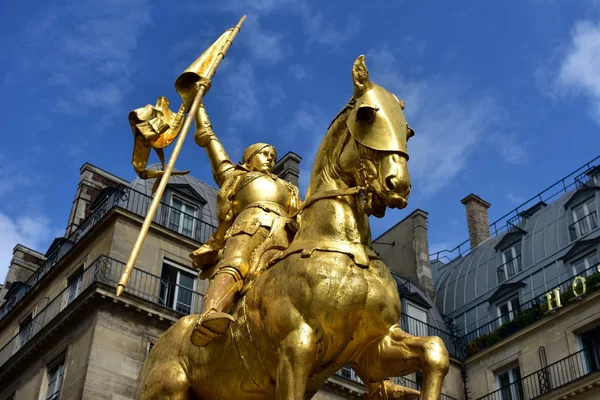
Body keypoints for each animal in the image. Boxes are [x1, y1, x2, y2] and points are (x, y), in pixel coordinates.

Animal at [138, 54, 448, 398]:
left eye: (409, 131)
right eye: (366, 115)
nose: (398, 185)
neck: (344, 246)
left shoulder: (373, 348)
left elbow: (436, 349)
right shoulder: (297, 343)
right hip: (169, 389)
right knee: (231, 268)